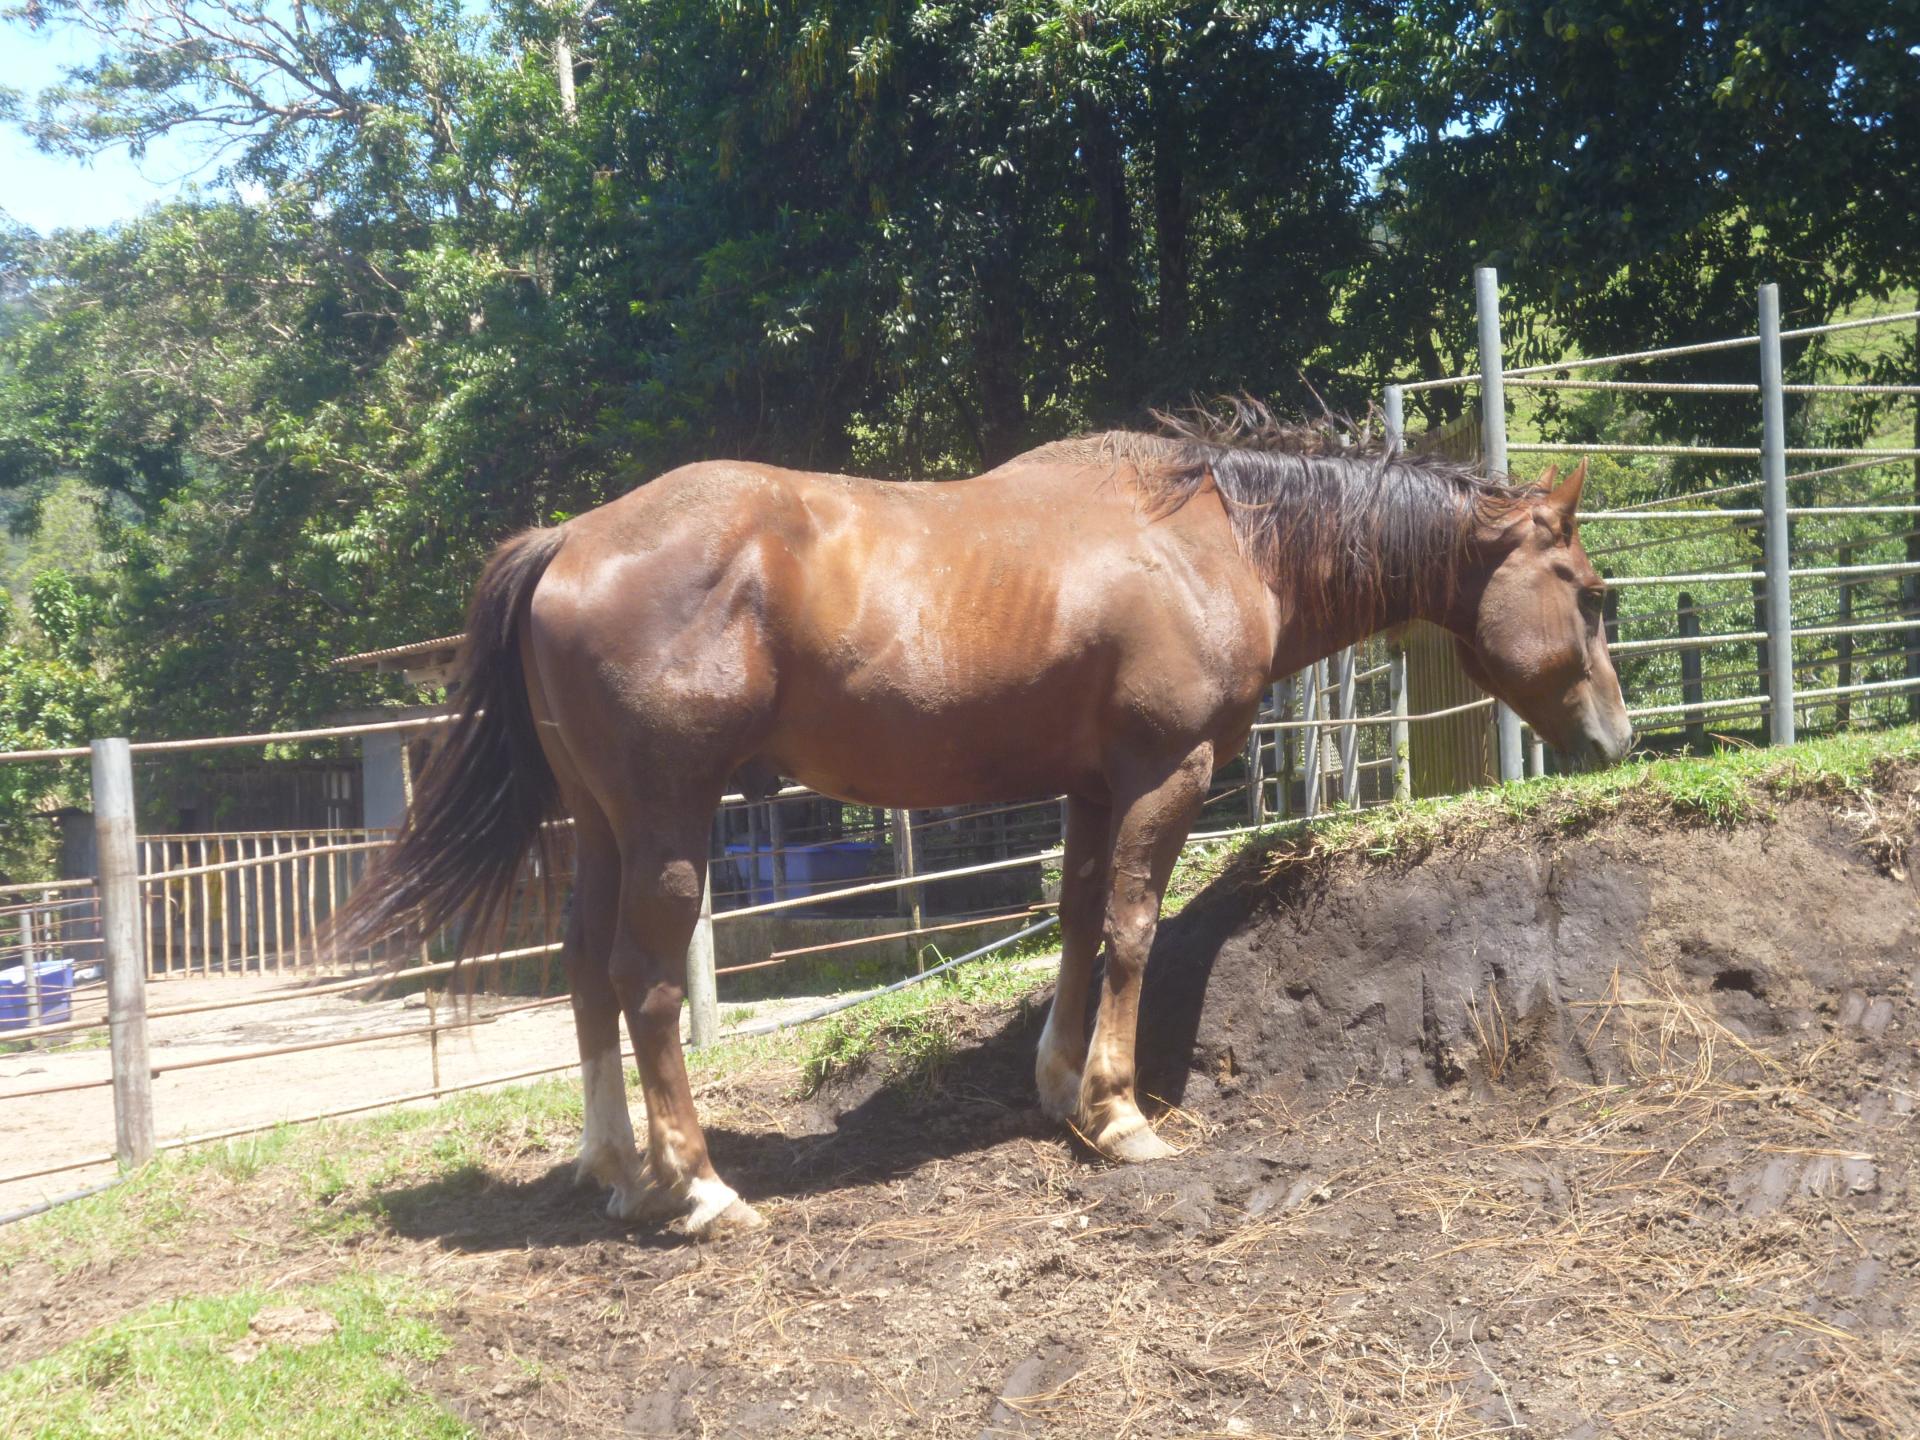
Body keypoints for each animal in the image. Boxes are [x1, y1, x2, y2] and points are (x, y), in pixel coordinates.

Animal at [337, 407, 1628, 1244]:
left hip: (602, 827)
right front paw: (1120, 1115)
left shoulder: (1095, 788)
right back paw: (697, 1190)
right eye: (1584, 588)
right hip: (665, 825)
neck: (1215, 538)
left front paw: (1059, 1086)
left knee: (583, 973)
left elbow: (1076, 921)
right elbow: (1133, 930)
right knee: (645, 985)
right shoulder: (1164, 775)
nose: (1615, 734)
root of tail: (572, 538)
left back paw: (617, 1167)